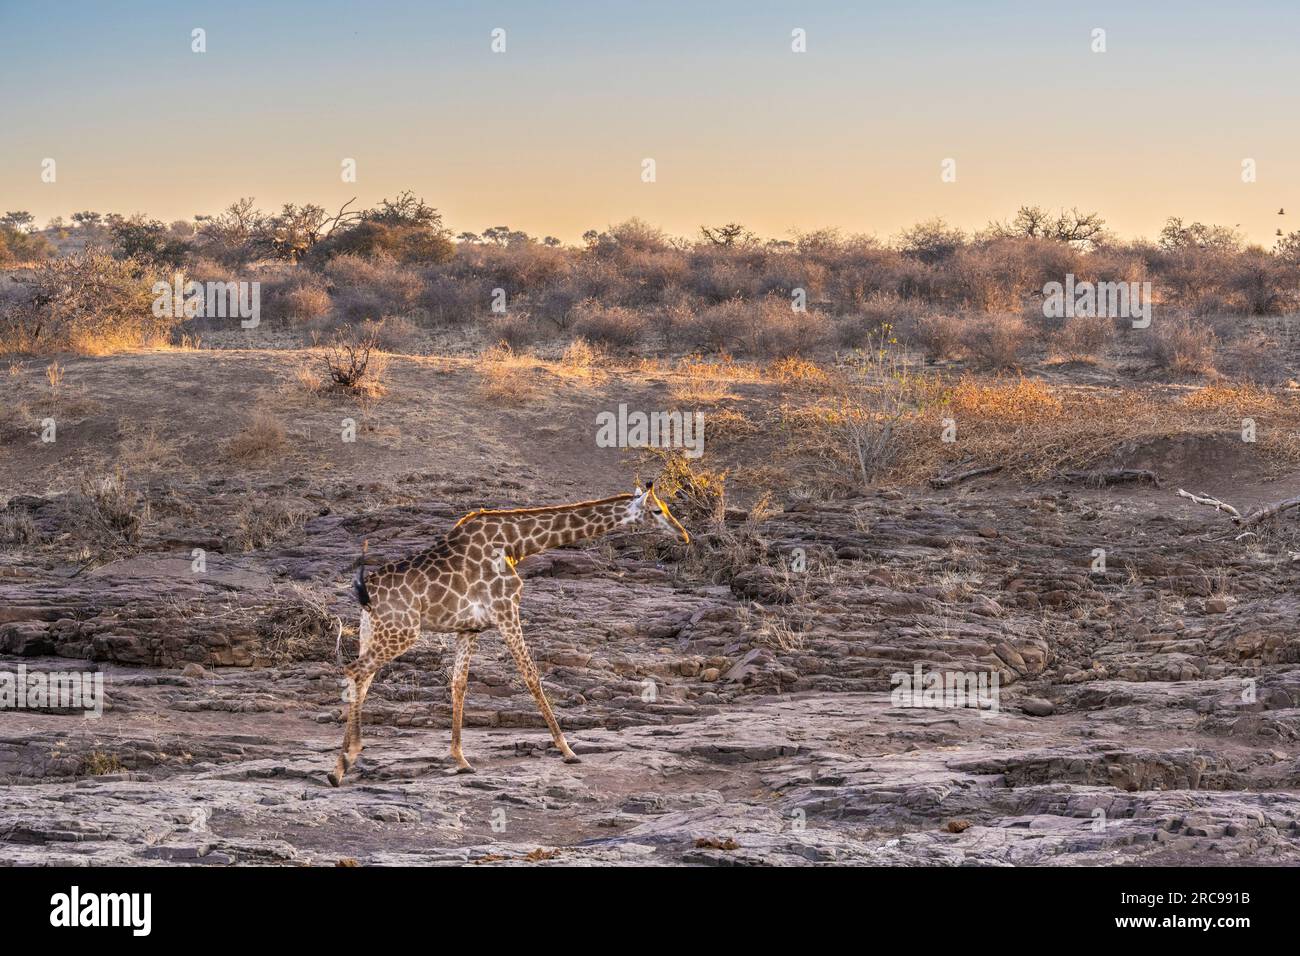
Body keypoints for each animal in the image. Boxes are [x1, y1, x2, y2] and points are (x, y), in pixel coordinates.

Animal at [327, 478, 691, 785]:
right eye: (658, 511)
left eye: (667, 508)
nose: (683, 535)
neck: (517, 543)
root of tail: (366, 589)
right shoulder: (506, 610)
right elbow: (531, 676)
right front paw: (567, 750)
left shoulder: (469, 628)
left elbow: (458, 685)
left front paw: (460, 759)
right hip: (402, 631)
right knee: (354, 671)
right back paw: (347, 759)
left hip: (374, 630)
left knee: (363, 679)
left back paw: (340, 765)